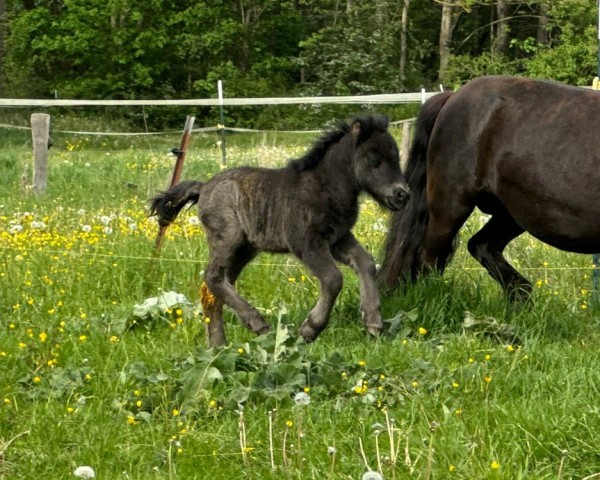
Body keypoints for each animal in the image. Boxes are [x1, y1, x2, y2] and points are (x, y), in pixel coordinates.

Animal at [152, 114, 410, 346]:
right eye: (374, 159)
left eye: (396, 158)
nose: (402, 194)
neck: (325, 187)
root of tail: (203, 187)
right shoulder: (307, 243)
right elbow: (333, 279)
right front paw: (310, 329)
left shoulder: (338, 238)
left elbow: (366, 262)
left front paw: (373, 322)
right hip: (228, 238)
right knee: (213, 276)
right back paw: (257, 323)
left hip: (244, 249)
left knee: (211, 289)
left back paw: (218, 346)